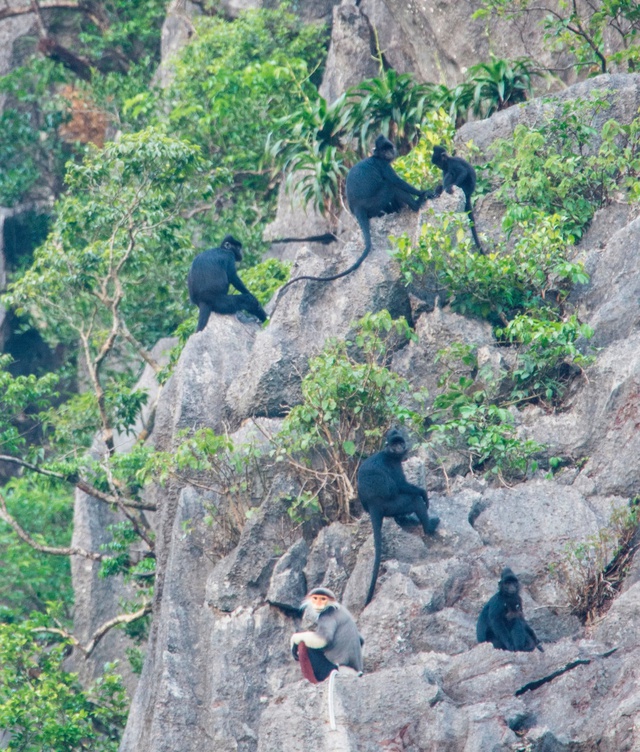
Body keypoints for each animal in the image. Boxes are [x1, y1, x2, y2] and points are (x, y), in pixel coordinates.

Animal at [272, 135, 428, 300]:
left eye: (389, 148)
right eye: (385, 149)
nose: (390, 153)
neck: (375, 157)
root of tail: (358, 208)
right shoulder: (383, 165)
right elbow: (398, 182)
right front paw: (425, 192)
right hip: (375, 201)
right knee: (390, 187)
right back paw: (416, 204)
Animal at [356, 428, 440, 604]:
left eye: (400, 442)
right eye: (394, 445)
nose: (400, 447)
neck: (388, 454)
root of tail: (373, 504)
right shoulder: (393, 465)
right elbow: (401, 485)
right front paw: (423, 493)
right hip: (392, 504)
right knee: (413, 500)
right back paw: (429, 527)